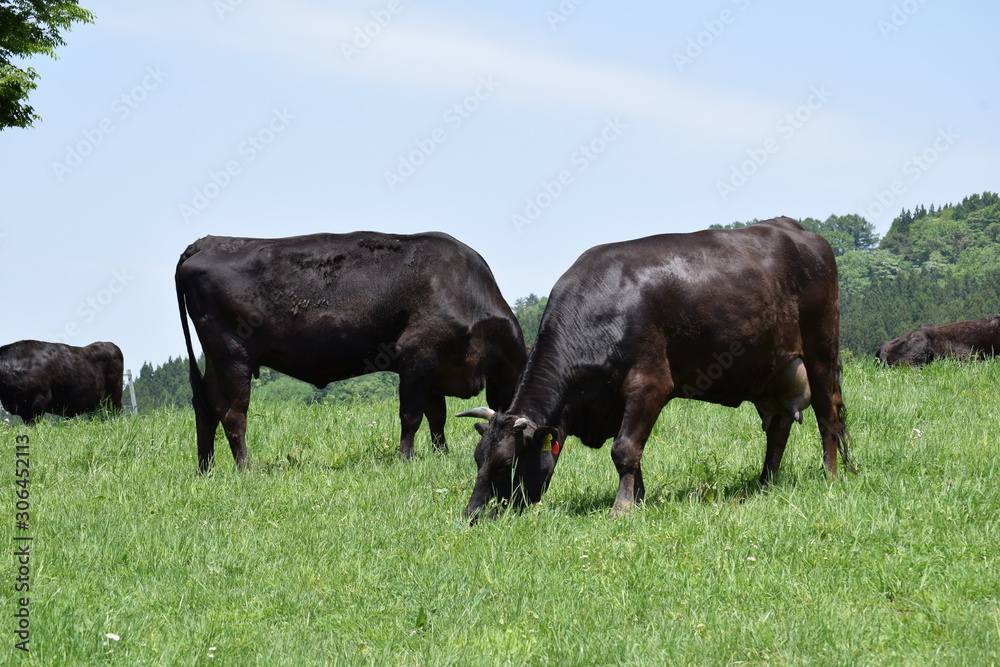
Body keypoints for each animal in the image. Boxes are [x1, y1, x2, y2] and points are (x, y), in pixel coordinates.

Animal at [176, 232, 528, 472]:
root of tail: (208, 242)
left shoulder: (431, 368)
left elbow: (436, 416)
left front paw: (440, 454)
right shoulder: (418, 353)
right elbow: (412, 415)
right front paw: (405, 459)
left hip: (215, 359)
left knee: (205, 406)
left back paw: (206, 468)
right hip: (233, 355)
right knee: (232, 412)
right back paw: (246, 468)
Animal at [458, 219, 856, 520]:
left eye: (506, 463)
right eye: (478, 459)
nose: (472, 515)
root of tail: (796, 228)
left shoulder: (649, 385)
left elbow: (623, 449)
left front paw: (621, 509)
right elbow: (631, 454)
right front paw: (638, 497)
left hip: (821, 351)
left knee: (828, 416)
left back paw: (832, 477)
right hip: (773, 375)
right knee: (778, 429)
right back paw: (766, 483)